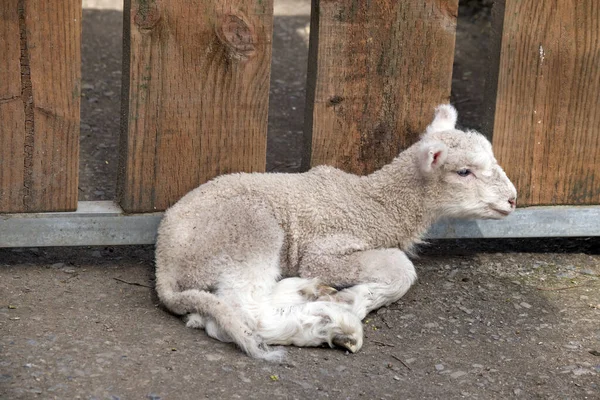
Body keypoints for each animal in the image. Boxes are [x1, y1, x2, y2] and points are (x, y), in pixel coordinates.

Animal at [154, 103, 516, 360]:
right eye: (464, 172)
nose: (513, 199)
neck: (376, 205)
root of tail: (163, 266)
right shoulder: (325, 251)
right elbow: (401, 267)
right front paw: (353, 300)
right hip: (249, 232)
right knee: (245, 311)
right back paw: (330, 325)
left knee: (219, 315)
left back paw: (308, 293)